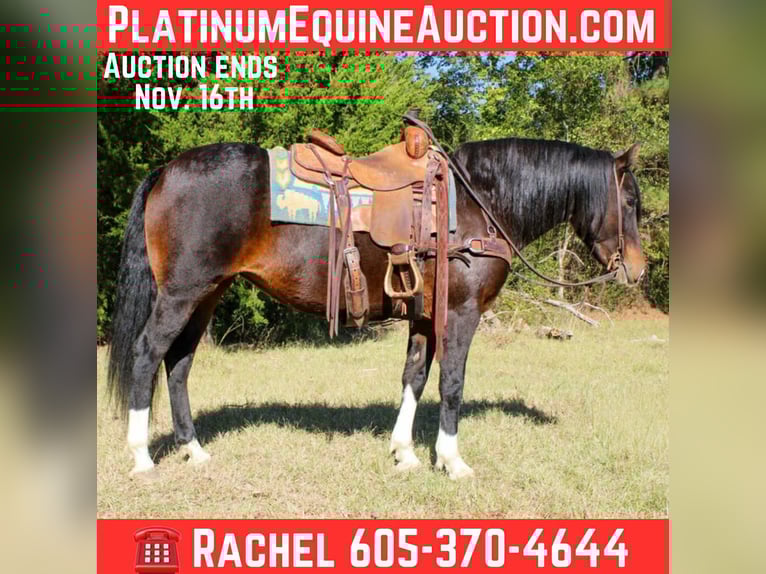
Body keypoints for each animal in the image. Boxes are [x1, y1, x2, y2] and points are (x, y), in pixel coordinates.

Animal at [107, 135, 646, 479]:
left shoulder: (425, 316)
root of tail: (167, 171)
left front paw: (405, 453)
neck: (478, 203)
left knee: (178, 365)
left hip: (208, 294)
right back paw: (142, 457)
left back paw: (194, 450)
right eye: (631, 202)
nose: (638, 269)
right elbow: (451, 384)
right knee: (147, 355)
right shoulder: (461, 314)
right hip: (182, 293)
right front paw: (451, 461)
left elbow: (414, 378)